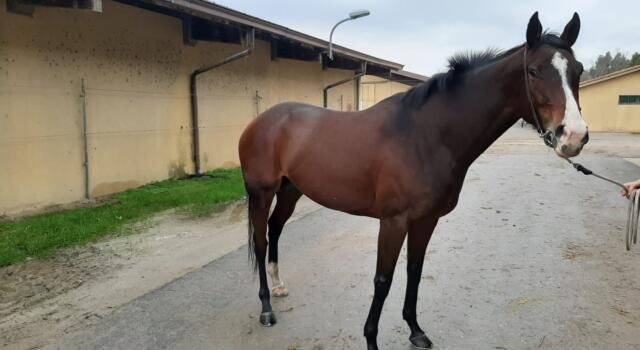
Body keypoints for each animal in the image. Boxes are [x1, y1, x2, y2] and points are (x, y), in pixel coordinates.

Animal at [239, 12, 584, 348]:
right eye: (534, 71)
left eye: (577, 70)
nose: (574, 137)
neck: (425, 136)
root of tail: (261, 121)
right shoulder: (393, 222)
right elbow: (383, 280)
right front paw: (372, 339)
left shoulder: (426, 220)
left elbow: (414, 271)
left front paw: (415, 330)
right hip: (261, 193)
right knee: (261, 240)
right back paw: (266, 308)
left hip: (291, 190)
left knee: (275, 229)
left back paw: (279, 286)